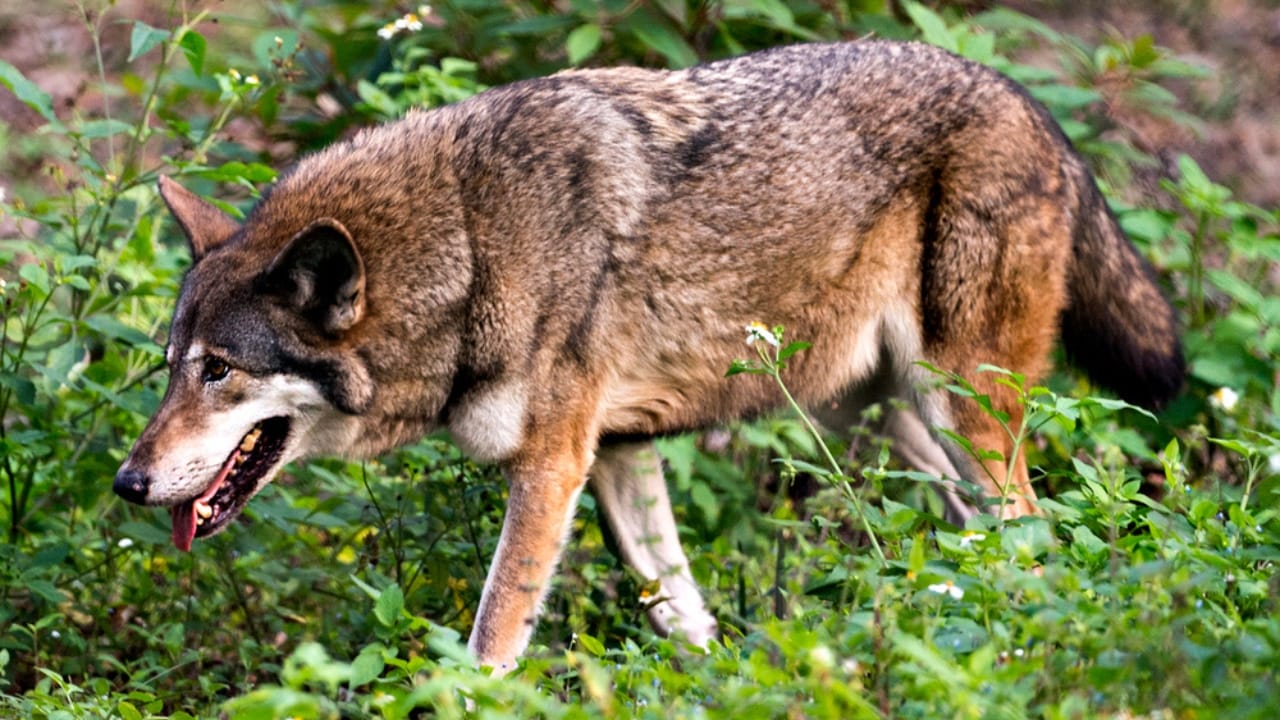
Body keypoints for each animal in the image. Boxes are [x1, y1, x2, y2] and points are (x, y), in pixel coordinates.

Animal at [114, 41, 1183, 673]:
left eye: (218, 369)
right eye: (169, 363)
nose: (126, 482)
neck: (469, 244)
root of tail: (1029, 99)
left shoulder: (553, 463)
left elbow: (492, 639)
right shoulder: (620, 452)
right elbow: (682, 614)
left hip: (957, 408)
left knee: (1033, 536)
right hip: (884, 424)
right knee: (981, 543)